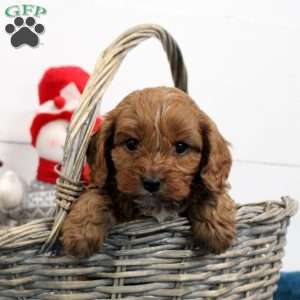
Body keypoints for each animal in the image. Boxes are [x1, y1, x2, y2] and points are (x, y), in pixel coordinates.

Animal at [62, 86, 236, 258]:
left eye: (181, 147)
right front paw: (82, 231)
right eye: (131, 143)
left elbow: (210, 190)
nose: (151, 183)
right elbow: (96, 194)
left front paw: (216, 228)